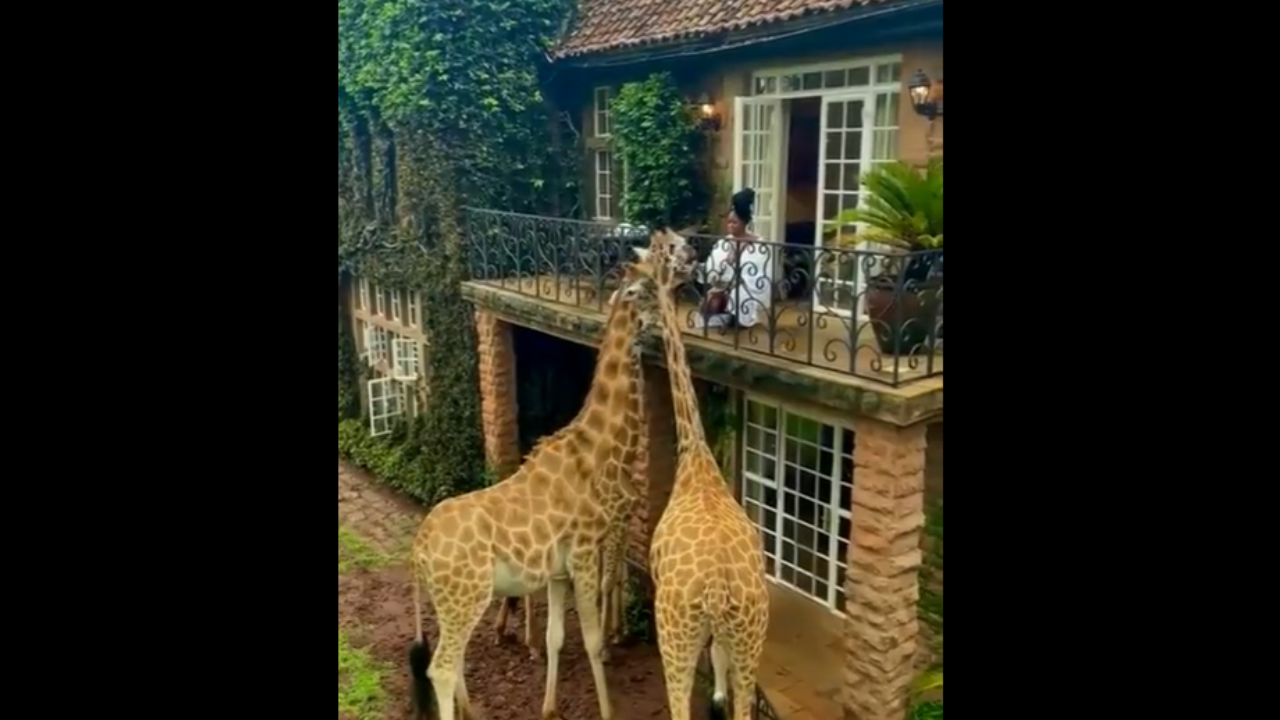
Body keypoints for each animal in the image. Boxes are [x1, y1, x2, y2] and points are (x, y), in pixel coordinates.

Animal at [407, 262, 660, 717]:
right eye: (645, 290)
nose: (667, 324)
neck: (597, 446)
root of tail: (417, 548)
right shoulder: (583, 554)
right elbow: (590, 640)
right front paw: (608, 705)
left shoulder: (558, 571)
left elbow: (555, 637)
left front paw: (549, 706)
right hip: (464, 597)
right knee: (441, 668)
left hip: (453, 602)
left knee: (453, 661)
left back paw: (475, 706)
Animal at [632, 228, 768, 717]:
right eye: (674, 245)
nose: (694, 252)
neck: (697, 455)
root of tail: (715, 591)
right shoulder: (726, 639)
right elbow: (721, 677)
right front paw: (718, 698)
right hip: (751, 631)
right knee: (743, 700)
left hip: (674, 631)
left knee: (677, 705)